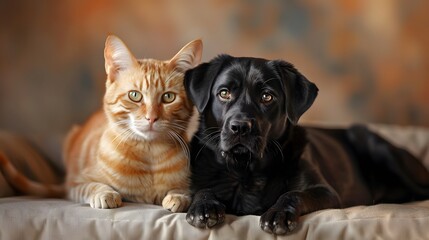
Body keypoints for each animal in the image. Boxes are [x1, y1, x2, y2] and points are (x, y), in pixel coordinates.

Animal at [0, 35, 202, 212]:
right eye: (134, 95)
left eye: (168, 97)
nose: (151, 118)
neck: (149, 155)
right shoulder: (76, 184)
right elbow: (94, 186)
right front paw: (106, 194)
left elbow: (185, 191)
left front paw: (178, 196)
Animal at [183, 54, 428, 234]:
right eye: (224, 93)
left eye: (267, 97)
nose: (240, 127)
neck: (246, 172)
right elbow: (202, 190)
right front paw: (203, 207)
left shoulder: (326, 192)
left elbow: (293, 194)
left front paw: (278, 214)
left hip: (376, 146)